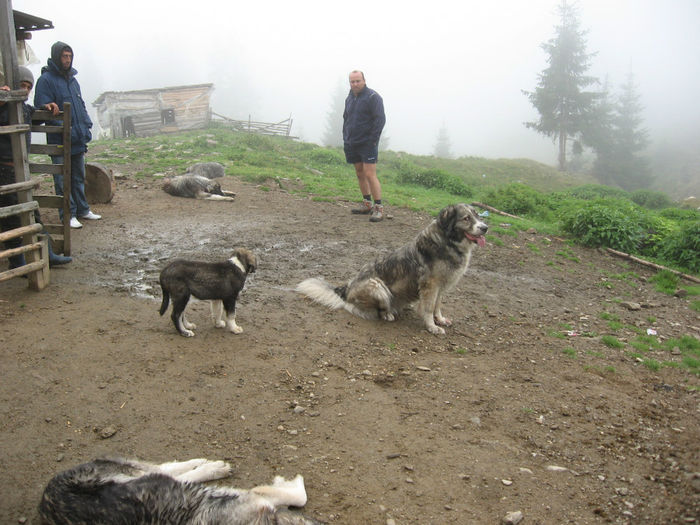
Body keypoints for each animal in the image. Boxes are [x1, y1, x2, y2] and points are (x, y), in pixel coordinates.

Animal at [298, 203, 490, 334]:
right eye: (466, 218)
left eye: (478, 216)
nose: (485, 228)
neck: (447, 241)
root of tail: (346, 288)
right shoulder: (430, 285)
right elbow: (428, 308)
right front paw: (432, 327)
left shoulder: (442, 285)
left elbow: (437, 306)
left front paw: (440, 320)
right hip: (377, 286)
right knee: (362, 308)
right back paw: (388, 314)